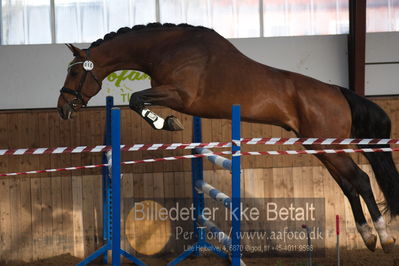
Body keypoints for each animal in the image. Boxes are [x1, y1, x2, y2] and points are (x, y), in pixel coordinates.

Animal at [57, 22, 398, 254]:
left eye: (74, 73)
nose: (62, 109)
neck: (167, 49)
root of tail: (340, 93)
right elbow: (137, 100)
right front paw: (166, 122)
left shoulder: (179, 94)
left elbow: (137, 99)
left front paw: (166, 123)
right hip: (321, 148)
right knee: (349, 185)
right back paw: (368, 237)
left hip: (330, 147)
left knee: (361, 180)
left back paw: (384, 238)